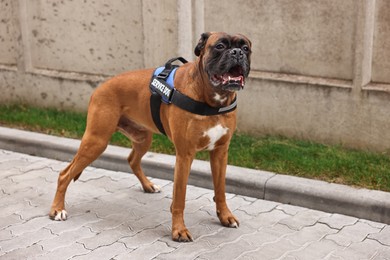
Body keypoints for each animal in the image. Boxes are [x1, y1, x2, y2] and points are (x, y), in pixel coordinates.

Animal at [49, 32, 250, 242]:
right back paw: (57, 209)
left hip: (143, 139)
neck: (212, 99)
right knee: (64, 174)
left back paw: (148, 185)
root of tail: (101, 86)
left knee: (132, 160)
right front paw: (178, 229)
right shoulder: (185, 155)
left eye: (246, 48)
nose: (237, 53)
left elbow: (220, 190)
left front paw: (225, 216)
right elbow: (180, 197)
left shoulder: (220, 153)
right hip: (97, 141)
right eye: (220, 46)